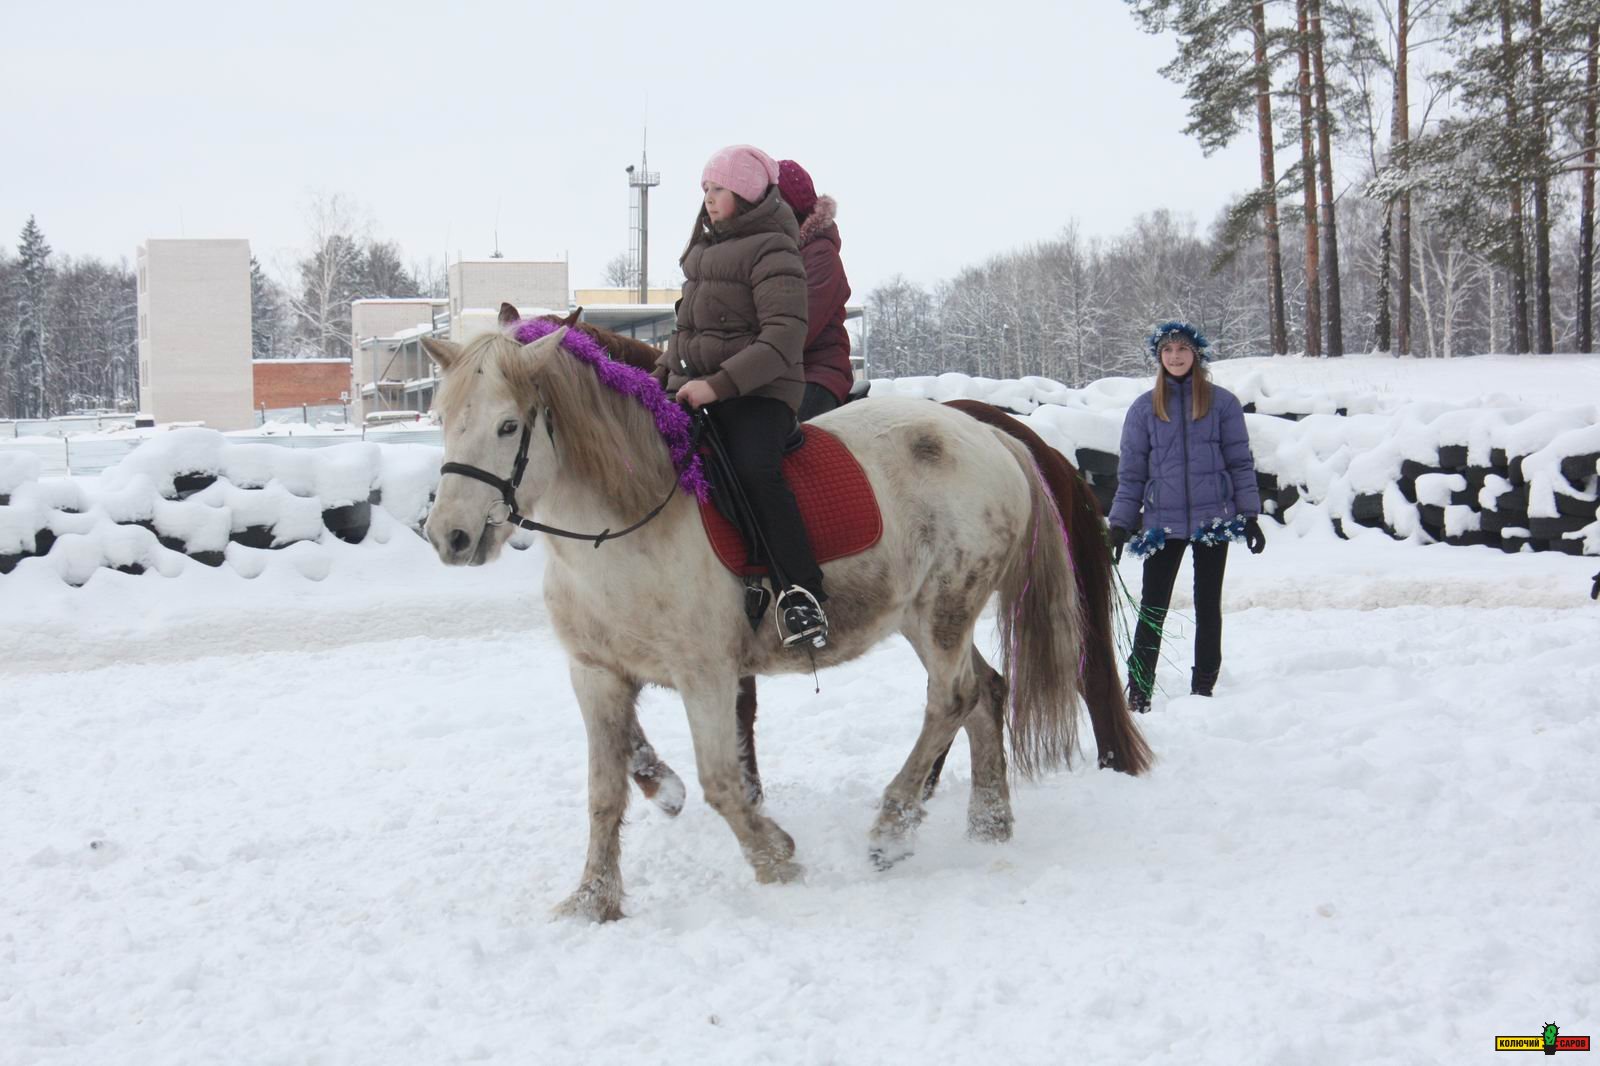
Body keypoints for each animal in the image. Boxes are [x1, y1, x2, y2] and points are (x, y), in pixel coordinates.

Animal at [422, 324, 1150, 921]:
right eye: (445, 419)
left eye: (508, 426)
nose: (449, 536)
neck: (621, 530)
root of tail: (991, 433)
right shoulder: (596, 676)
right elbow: (606, 791)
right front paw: (593, 899)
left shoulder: (708, 676)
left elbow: (721, 781)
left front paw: (777, 859)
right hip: (922, 618)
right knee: (985, 693)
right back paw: (989, 820)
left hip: (944, 608)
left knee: (952, 698)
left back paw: (893, 827)